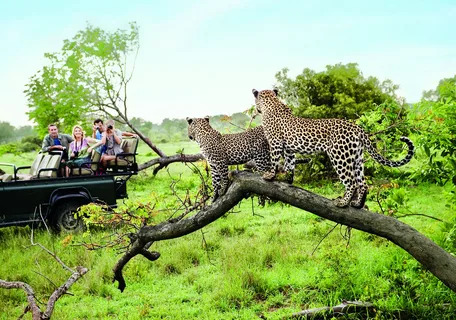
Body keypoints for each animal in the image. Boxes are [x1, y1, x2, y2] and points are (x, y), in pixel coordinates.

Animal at [251, 88, 416, 208]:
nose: (255, 110)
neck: (271, 103)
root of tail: (357, 128)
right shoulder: (289, 148)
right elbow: (290, 164)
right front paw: (287, 178)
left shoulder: (275, 143)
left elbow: (274, 160)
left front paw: (270, 175)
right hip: (357, 157)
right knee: (363, 183)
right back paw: (357, 204)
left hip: (339, 156)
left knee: (351, 182)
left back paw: (343, 203)